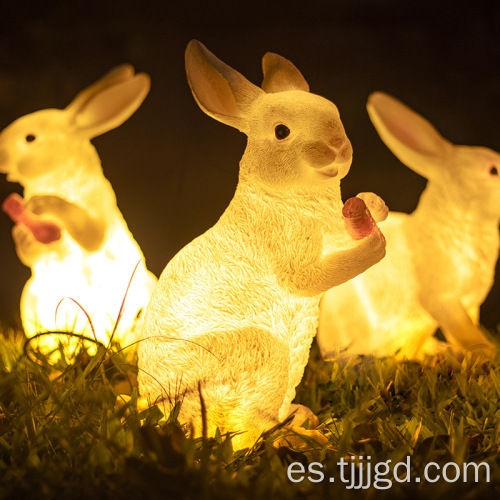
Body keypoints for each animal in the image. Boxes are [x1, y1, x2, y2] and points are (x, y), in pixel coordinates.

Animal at [0, 65, 157, 356]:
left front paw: (43, 204)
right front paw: (23, 234)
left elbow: (89, 233)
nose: (0, 156)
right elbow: (30, 253)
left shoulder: (97, 212)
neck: (54, 179)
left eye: (30, 138)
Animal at [138, 42, 386, 450]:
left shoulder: (331, 232)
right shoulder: (292, 258)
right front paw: (377, 245)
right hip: (260, 353)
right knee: (250, 422)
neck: (284, 194)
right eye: (281, 132)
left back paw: (300, 419)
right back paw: (293, 436)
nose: (338, 148)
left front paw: (371, 205)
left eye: (333, 111)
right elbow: (315, 276)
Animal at [318, 91, 498, 360]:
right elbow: (464, 330)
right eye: (493, 171)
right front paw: (487, 352)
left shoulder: (470, 303)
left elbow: (463, 330)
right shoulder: (443, 300)